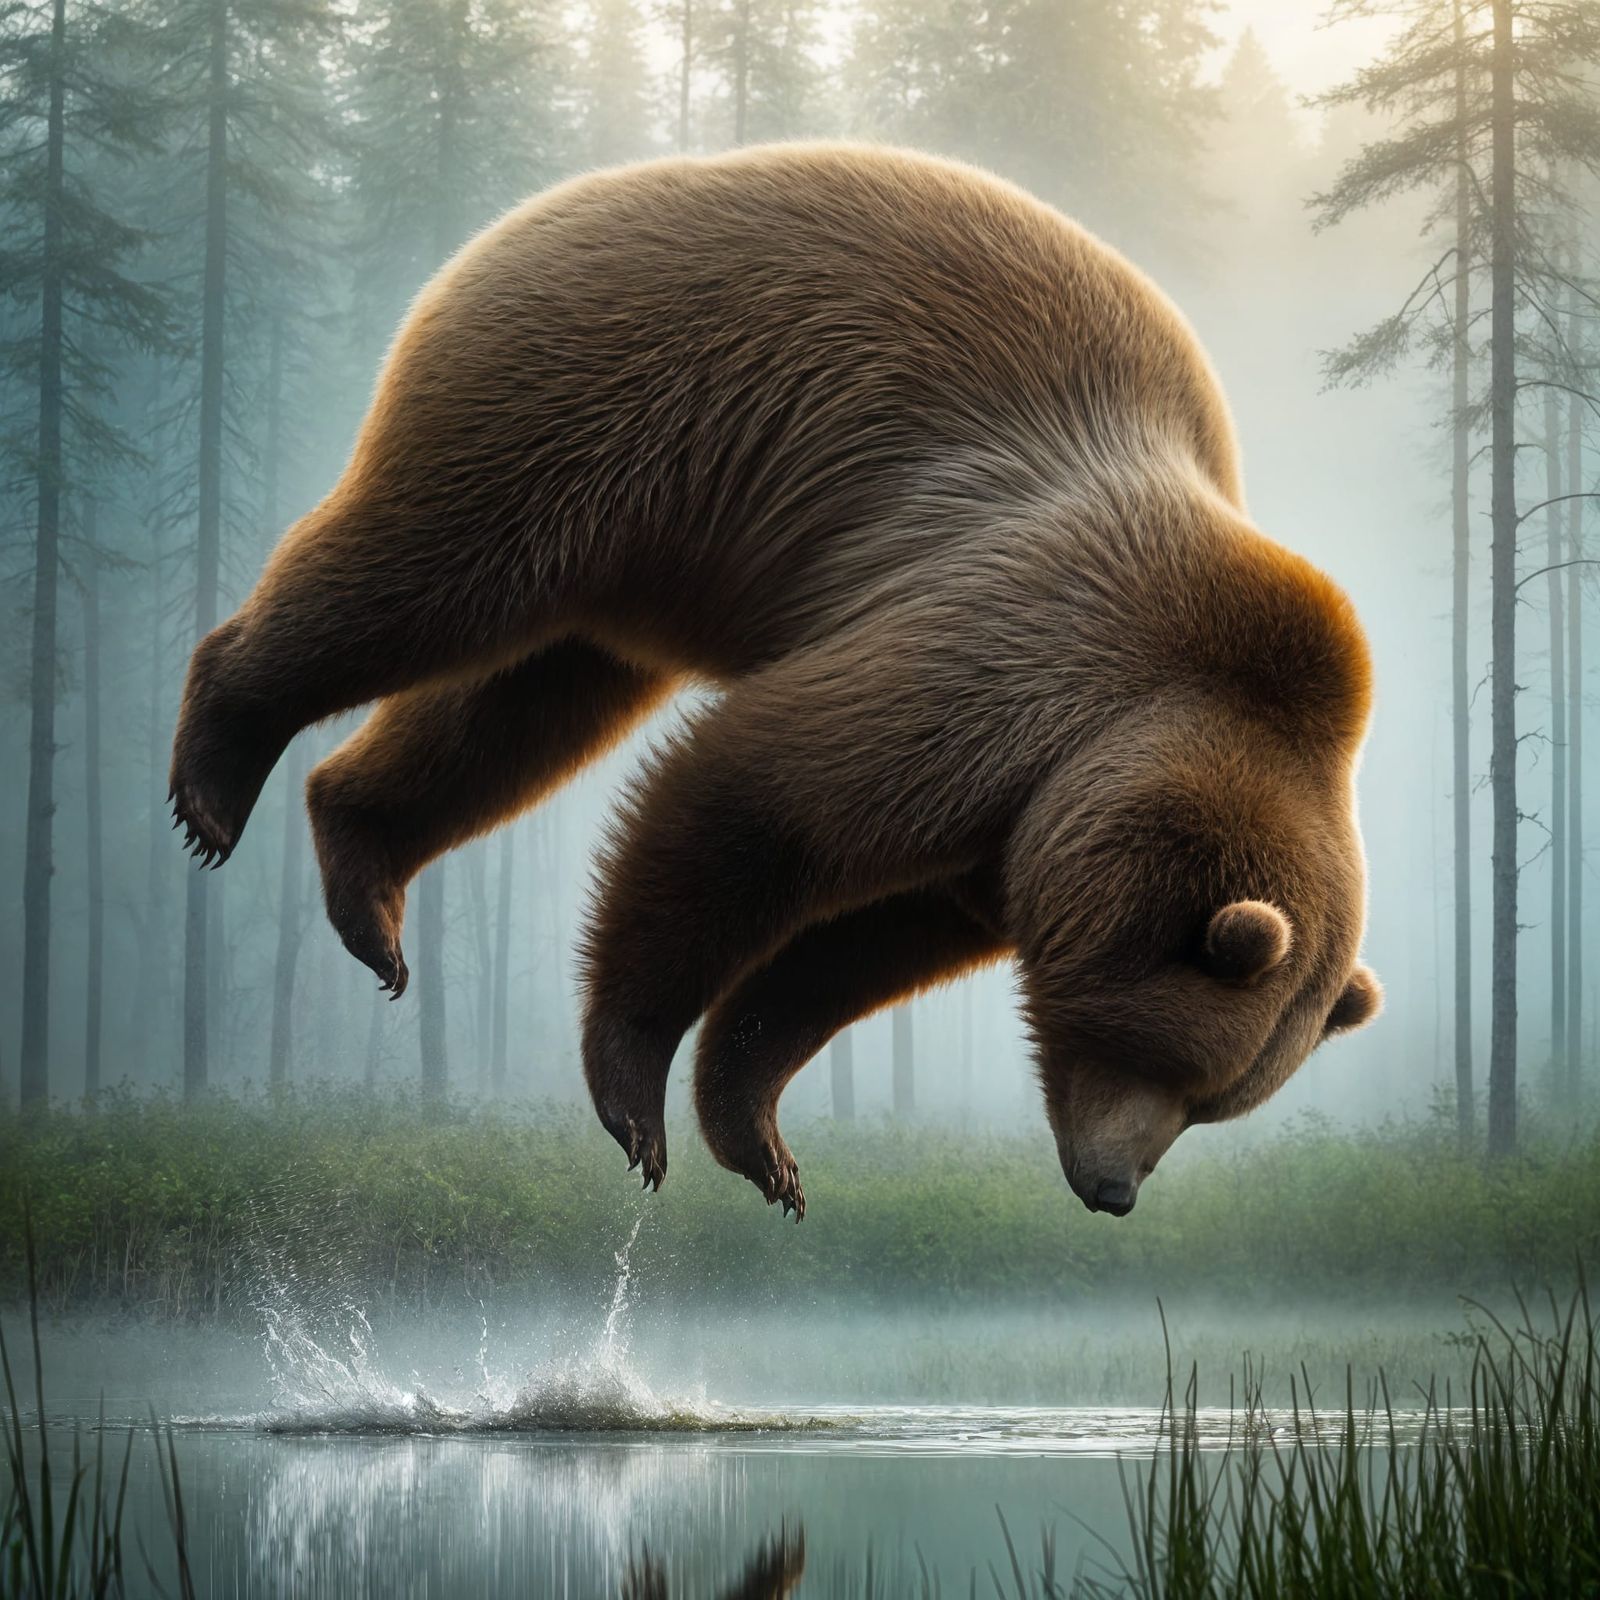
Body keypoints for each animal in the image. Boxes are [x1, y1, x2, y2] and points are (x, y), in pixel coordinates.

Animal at [169, 142, 1382, 1220]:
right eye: (1167, 1059)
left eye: (1212, 1104)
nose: (1114, 1190)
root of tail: (532, 207)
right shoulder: (1017, 658)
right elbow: (756, 793)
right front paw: (636, 1103)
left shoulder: (1003, 839)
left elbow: (847, 957)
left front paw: (761, 1142)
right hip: (584, 403)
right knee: (422, 578)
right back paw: (214, 782)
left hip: (634, 562)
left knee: (512, 717)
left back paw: (365, 880)